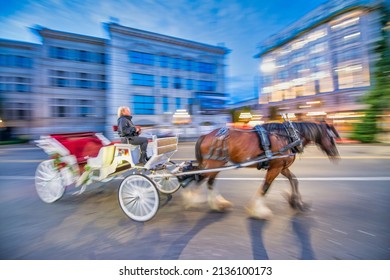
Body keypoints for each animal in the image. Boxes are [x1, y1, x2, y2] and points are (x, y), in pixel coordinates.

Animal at [184, 121, 340, 220]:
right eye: (331, 138)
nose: (336, 155)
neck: (289, 137)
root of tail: (205, 135)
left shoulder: (282, 167)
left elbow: (294, 181)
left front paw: (296, 203)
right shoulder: (275, 168)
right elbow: (265, 187)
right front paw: (259, 211)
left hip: (216, 164)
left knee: (208, 181)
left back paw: (217, 204)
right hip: (214, 164)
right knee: (199, 178)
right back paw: (193, 199)